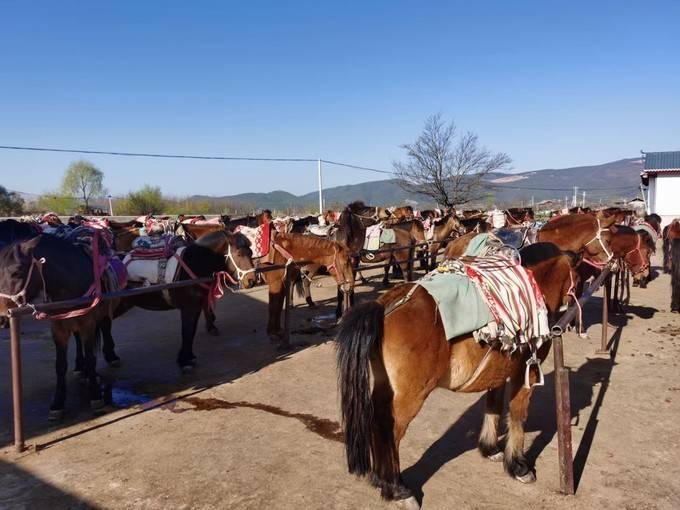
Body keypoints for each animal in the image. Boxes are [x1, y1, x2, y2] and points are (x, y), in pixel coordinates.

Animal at [338, 243, 576, 506]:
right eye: (578, 275)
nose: (571, 319)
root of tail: (385, 306)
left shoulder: (498, 370)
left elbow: (493, 405)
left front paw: (490, 448)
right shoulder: (527, 371)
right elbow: (517, 414)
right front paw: (518, 465)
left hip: (386, 387)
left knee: (376, 422)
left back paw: (381, 479)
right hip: (410, 395)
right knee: (390, 430)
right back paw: (397, 489)